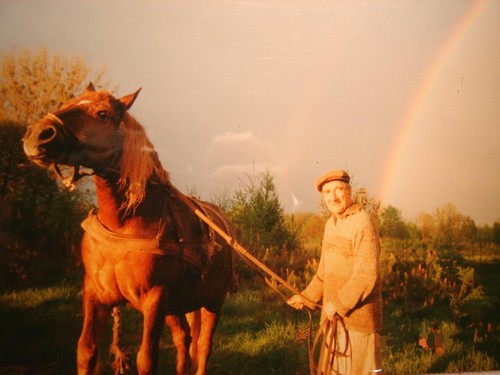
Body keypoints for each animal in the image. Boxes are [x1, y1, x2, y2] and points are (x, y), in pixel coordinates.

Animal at [24, 84, 239, 375]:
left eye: (102, 114)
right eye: (65, 103)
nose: (37, 135)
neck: (124, 225)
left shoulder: (155, 300)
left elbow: (146, 359)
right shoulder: (95, 294)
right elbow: (86, 352)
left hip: (212, 303)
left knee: (204, 346)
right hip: (178, 306)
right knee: (183, 339)